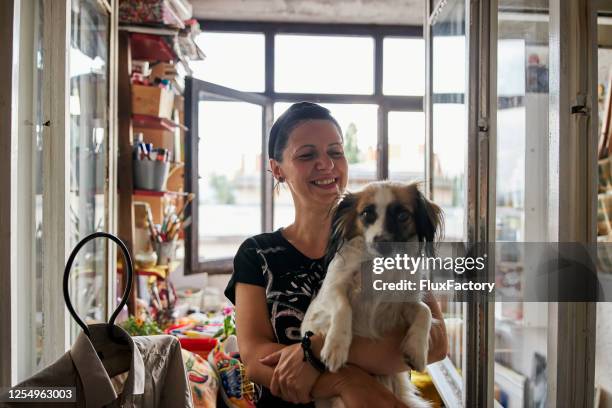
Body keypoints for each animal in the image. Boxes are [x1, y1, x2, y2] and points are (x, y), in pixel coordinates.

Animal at [304, 182, 442, 408]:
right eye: (366, 213)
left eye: (403, 215)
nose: (382, 241)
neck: (381, 265)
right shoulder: (332, 289)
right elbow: (343, 306)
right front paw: (336, 346)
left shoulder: (401, 304)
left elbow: (425, 311)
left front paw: (417, 349)